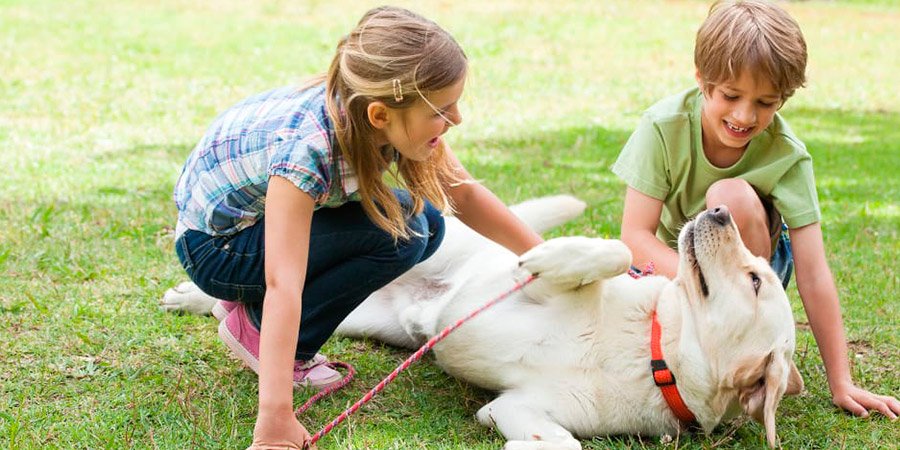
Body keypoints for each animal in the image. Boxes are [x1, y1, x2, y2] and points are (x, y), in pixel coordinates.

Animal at [160, 195, 800, 448]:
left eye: (755, 280)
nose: (720, 210)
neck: (651, 349)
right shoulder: (521, 284)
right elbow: (613, 252)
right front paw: (557, 256)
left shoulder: (518, 407)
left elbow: (561, 443)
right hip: (423, 238)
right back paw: (187, 296)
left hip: (365, 319)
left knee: (253, 311)